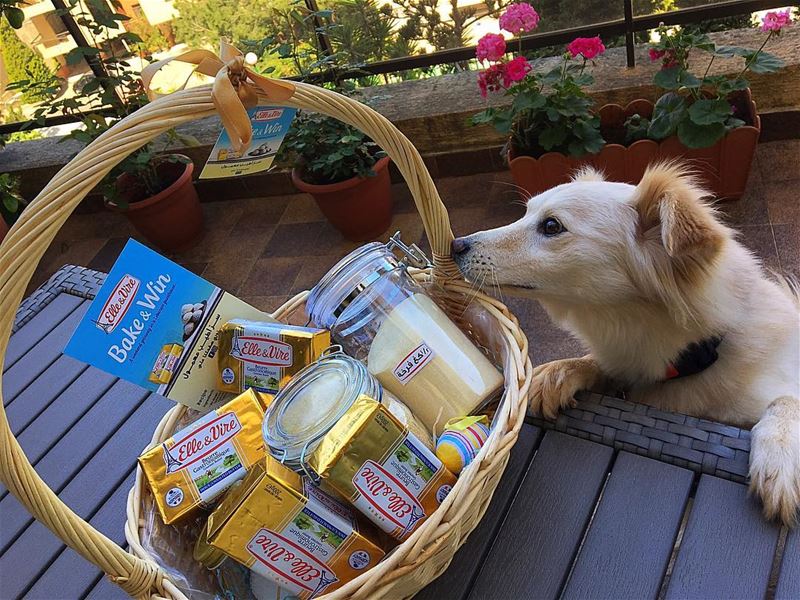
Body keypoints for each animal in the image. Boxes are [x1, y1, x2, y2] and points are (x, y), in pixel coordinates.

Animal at [454, 163, 796, 524]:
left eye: (551, 226)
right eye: (526, 213)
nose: (455, 244)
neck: (699, 353)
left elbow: (786, 400)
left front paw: (779, 455)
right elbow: (600, 366)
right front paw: (562, 373)